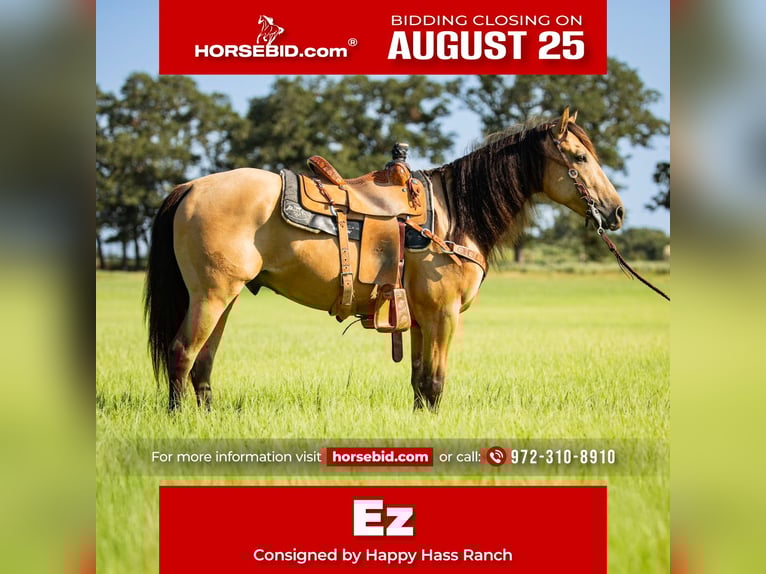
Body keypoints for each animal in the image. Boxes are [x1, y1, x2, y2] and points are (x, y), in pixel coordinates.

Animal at [144, 108, 625, 412]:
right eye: (579, 157)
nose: (617, 212)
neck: (454, 214)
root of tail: (191, 186)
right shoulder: (444, 314)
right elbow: (434, 382)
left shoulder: (422, 317)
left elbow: (419, 383)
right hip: (210, 295)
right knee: (182, 353)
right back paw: (179, 418)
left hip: (225, 298)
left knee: (204, 361)